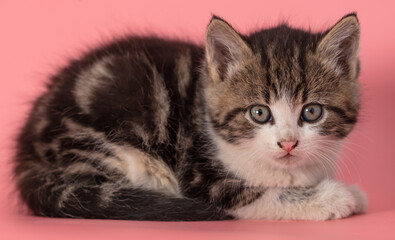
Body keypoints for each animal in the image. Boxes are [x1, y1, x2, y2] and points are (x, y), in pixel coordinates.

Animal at [14, 12, 368, 219]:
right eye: (259, 113)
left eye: (312, 112)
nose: (288, 144)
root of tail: (27, 152)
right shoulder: (202, 179)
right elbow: (260, 195)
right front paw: (338, 197)